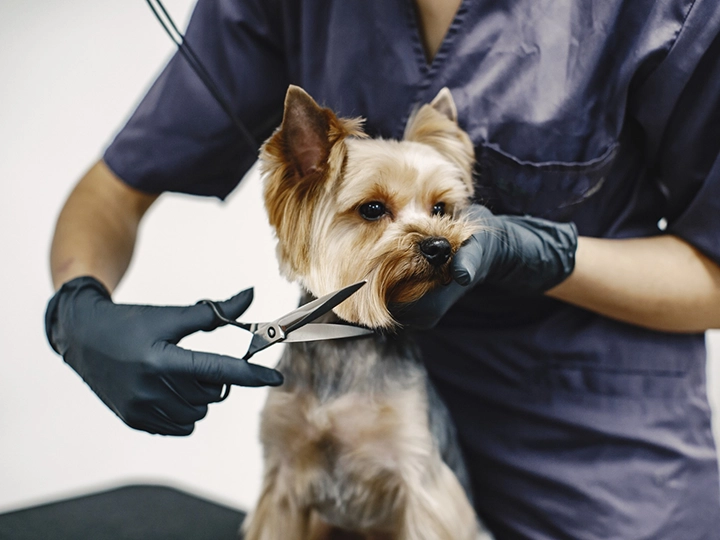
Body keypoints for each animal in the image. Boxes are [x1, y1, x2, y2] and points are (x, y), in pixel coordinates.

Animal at [245, 86, 492, 536]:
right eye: (373, 209)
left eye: (440, 209)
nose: (439, 246)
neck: (343, 339)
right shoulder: (283, 479)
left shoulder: (421, 481)